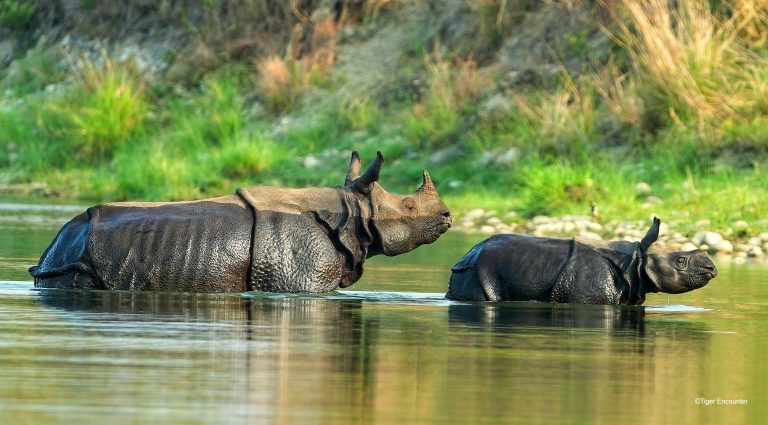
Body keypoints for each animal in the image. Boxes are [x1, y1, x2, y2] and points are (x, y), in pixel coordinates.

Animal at [30, 151, 452, 293]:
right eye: (409, 206)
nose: (448, 216)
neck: (351, 212)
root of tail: (56, 245)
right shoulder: (296, 278)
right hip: (78, 260)